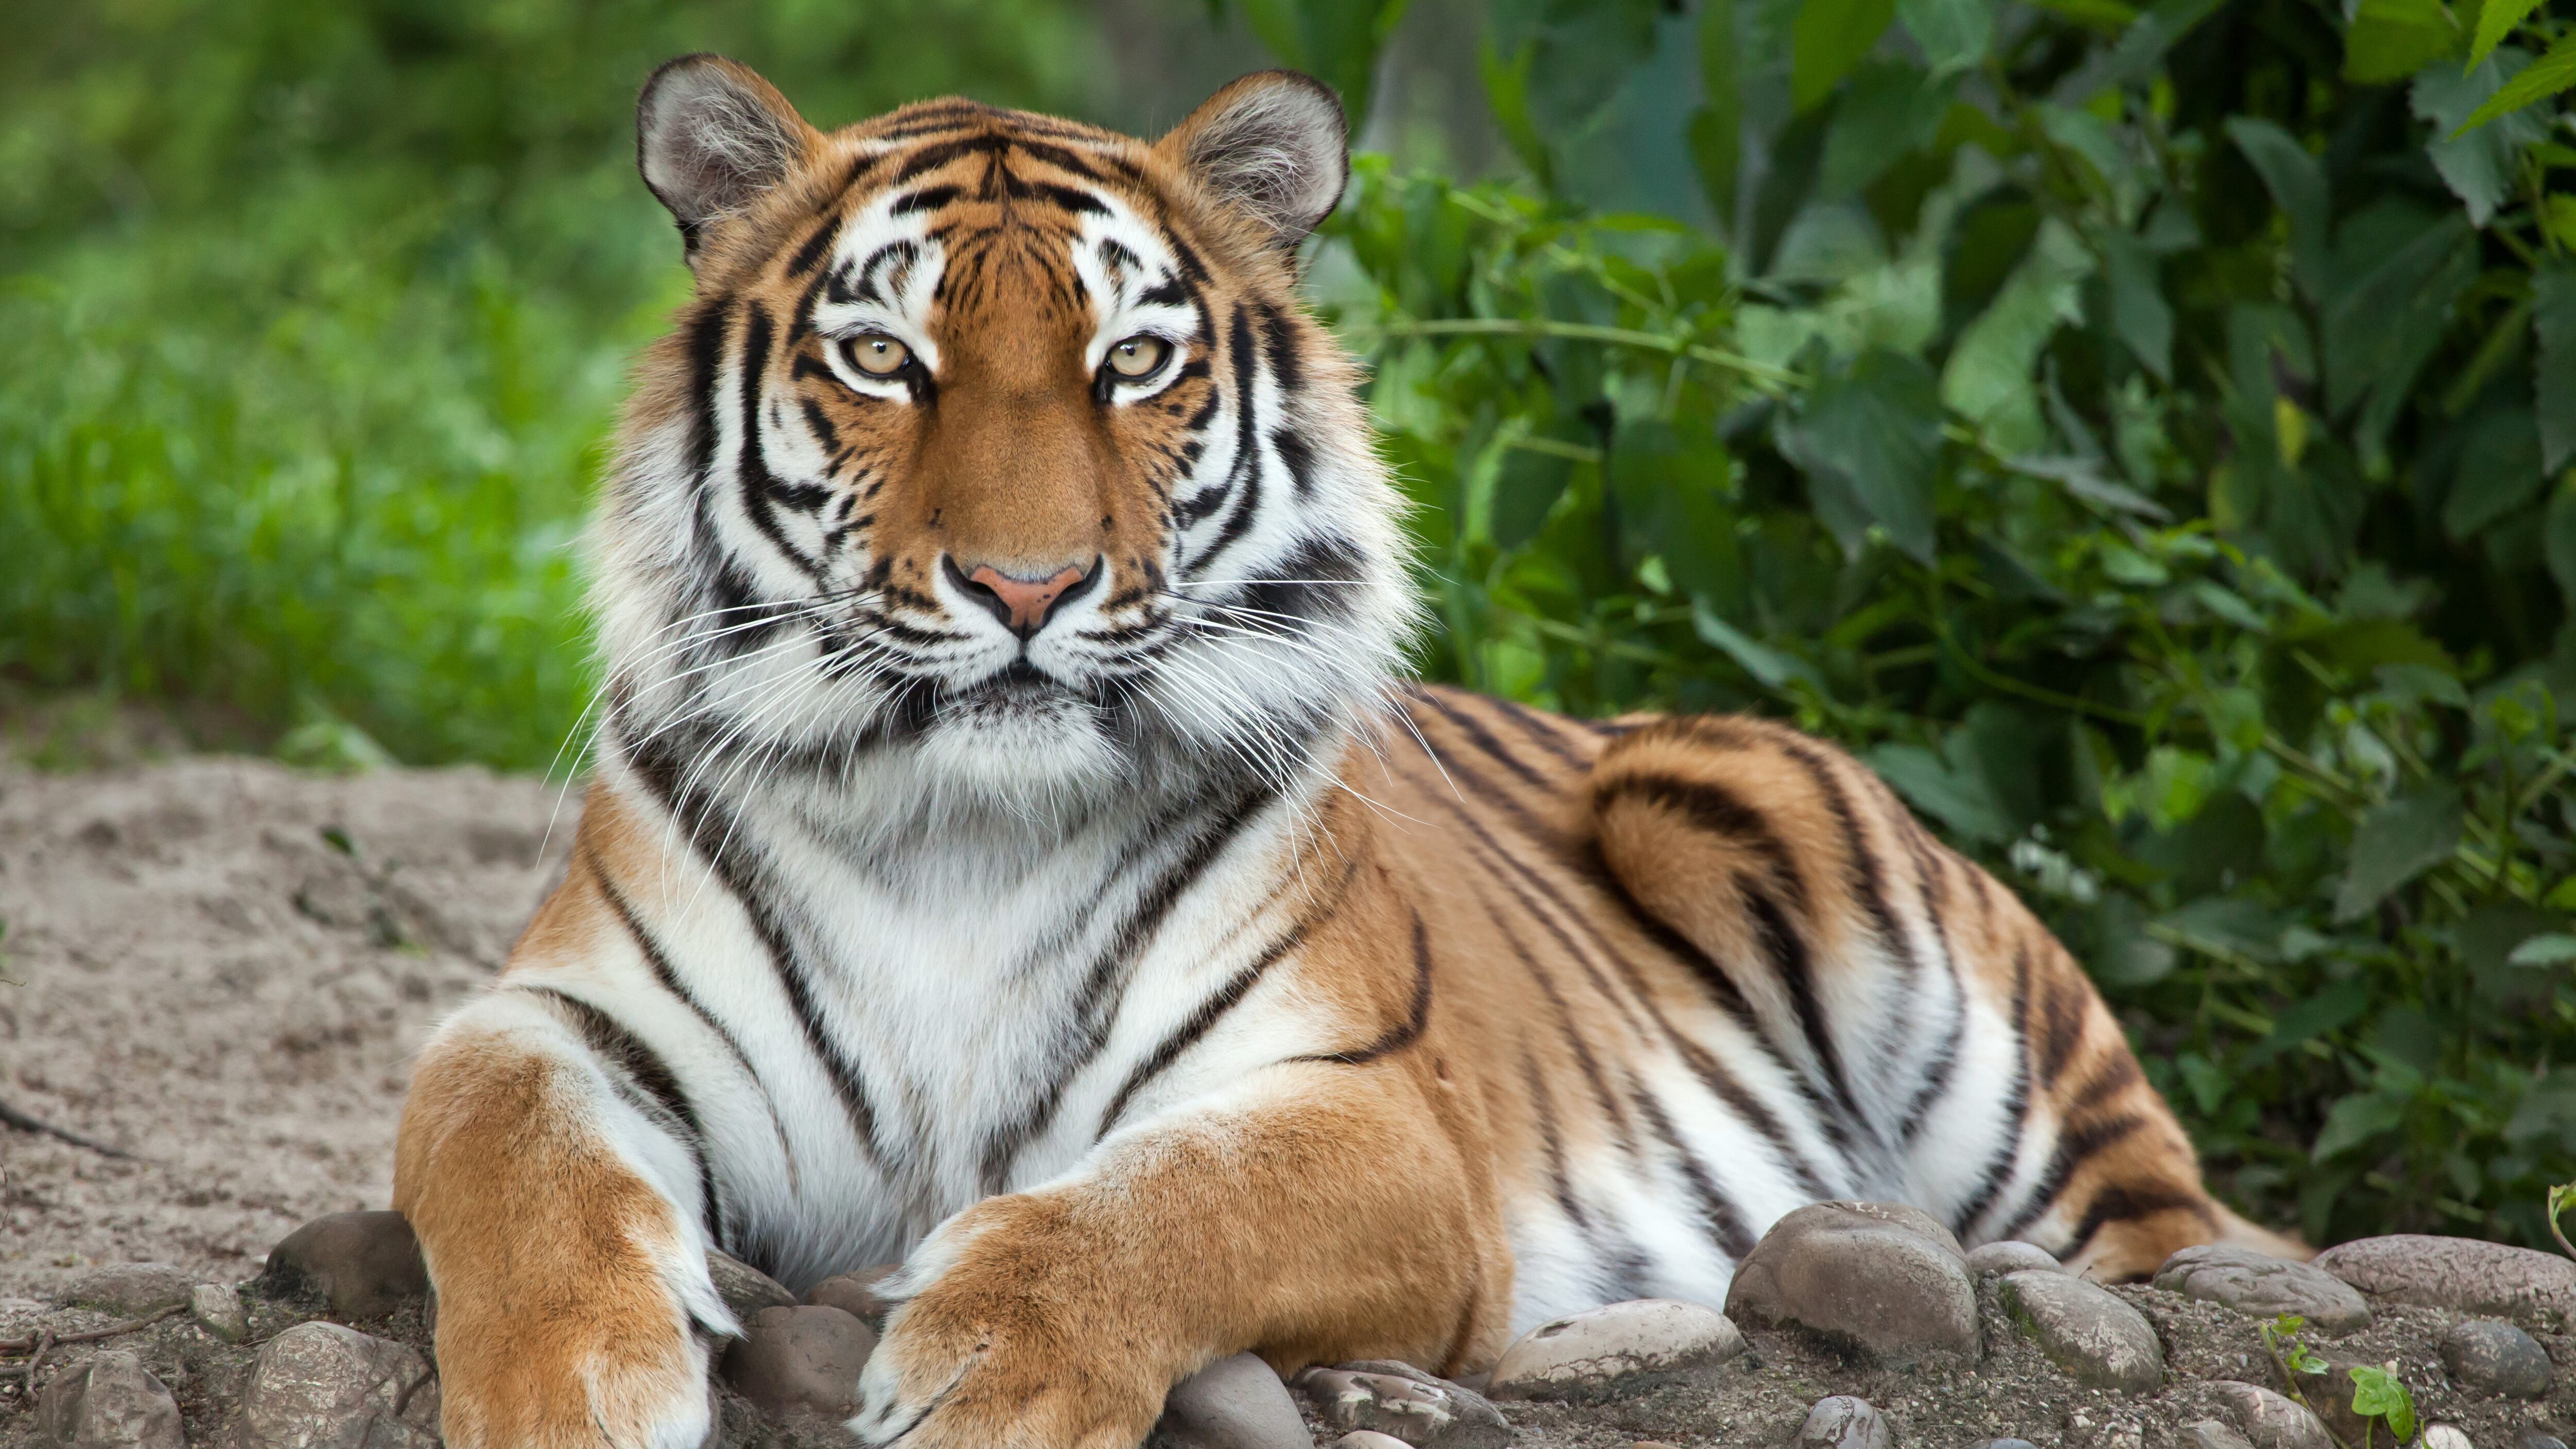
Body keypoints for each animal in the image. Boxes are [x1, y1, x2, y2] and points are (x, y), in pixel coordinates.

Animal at [389, 55, 2300, 1449]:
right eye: (882, 356)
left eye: (1133, 362)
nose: (1026, 586)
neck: (958, 831)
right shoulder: (559, 1018)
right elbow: (509, 1154)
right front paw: (573, 1393)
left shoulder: (1376, 1119)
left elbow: (1165, 1203)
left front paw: (983, 1368)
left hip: (1814, 871)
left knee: (2187, 1239)